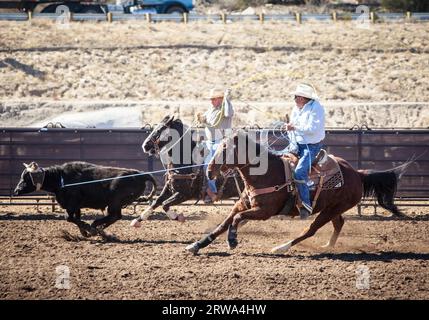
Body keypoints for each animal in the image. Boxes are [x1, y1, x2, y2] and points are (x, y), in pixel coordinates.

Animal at [186, 131, 410, 255]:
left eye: (226, 149)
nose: (209, 171)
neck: (267, 174)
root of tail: (358, 174)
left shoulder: (264, 211)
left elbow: (236, 220)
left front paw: (232, 241)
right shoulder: (242, 205)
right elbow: (223, 224)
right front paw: (196, 245)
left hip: (328, 211)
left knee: (310, 230)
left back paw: (282, 248)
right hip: (332, 208)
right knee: (339, 223)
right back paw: (328, 246)